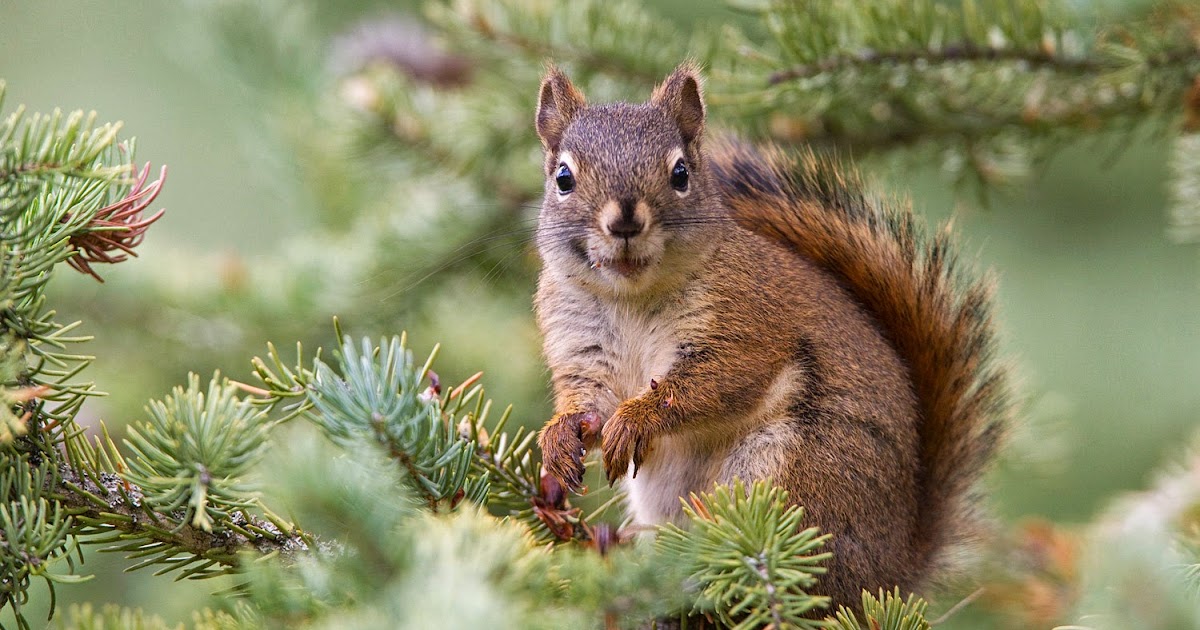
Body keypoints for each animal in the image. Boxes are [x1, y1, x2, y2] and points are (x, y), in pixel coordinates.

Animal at [533, 62, 1009, 611]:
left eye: (681, 174)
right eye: (563, 178)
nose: (626, 220)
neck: (631, 297)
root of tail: (892, 572)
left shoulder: (748, 323)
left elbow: (713, 383)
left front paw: (636, 419)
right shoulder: (579, 343)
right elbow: (588, 400)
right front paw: (561, 436)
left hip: (795, 472)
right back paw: (625, 547)